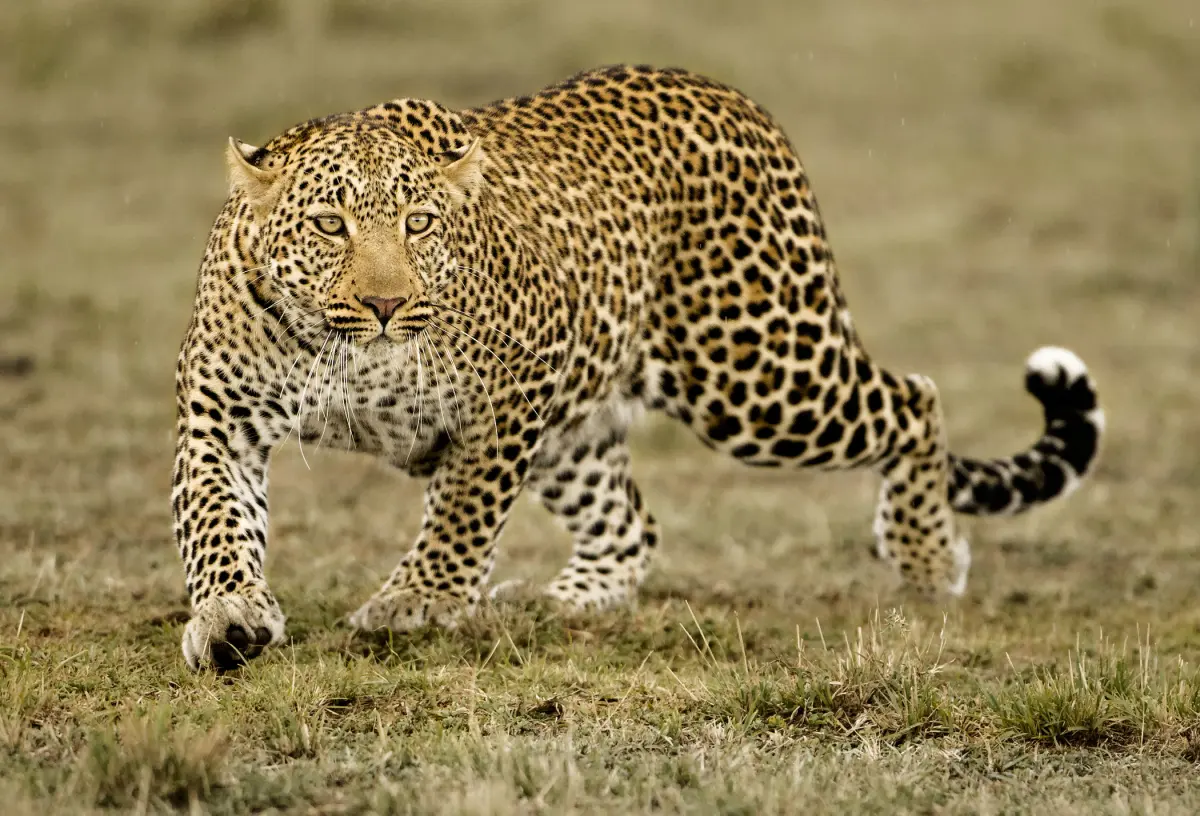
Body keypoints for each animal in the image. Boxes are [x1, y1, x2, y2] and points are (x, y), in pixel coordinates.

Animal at [173, 65, 1104, 670]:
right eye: (330, 225)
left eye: (421, 224)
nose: (385, 305)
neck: (349, 356)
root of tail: (731, 96)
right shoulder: (219, 416)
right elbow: (216, 523)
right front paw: (229, 617)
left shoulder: (512, 391)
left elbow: (463, 512)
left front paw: (419, 601)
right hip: (587, 425)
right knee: (631, 524)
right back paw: (559, 601)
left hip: (758, 373)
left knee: (914, 399)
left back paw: (926, 559)